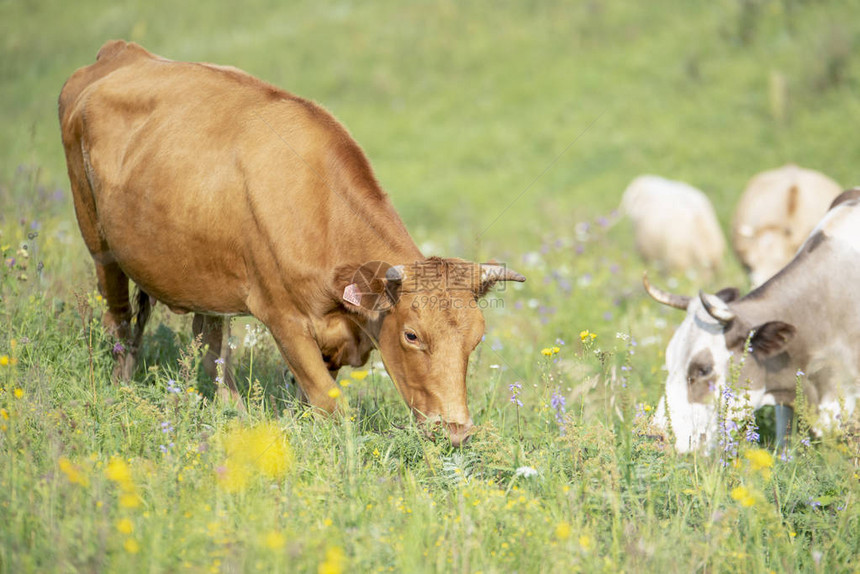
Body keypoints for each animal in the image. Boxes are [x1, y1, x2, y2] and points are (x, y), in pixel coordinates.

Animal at [60, 40, 524, 448]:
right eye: (412, 335)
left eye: (477, 338)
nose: (456, 431)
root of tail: (121, 53)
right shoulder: (283, 319)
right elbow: (331, 406)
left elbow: (309, 402)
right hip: (98, 240)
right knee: (120, 321)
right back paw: (122, 388)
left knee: (210, 345)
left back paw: (234, 415)